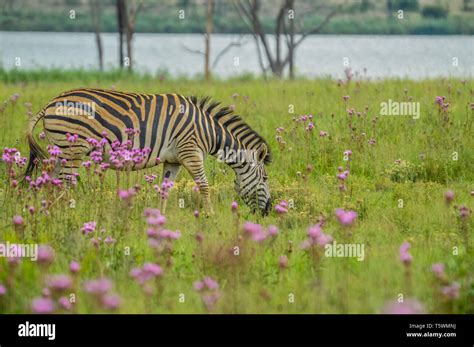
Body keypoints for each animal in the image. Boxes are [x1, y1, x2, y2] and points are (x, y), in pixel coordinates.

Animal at [24, 88, 272, 215]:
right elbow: (204, 186)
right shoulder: (190, 152)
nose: (268, 211)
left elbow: (165, 189)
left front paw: (159, 220)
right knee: (65, 186)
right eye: (265, 179)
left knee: (50, 183)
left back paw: (48, 215)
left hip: (61, 152)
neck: (207, 131)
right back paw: (67, 218)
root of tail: (50, 103)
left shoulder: (174, 160)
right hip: (73, 150)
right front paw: (210, 216)